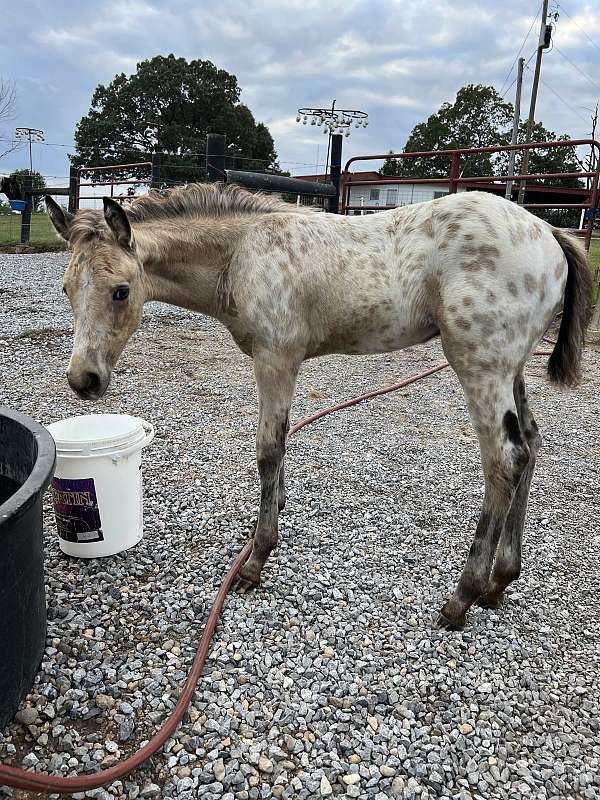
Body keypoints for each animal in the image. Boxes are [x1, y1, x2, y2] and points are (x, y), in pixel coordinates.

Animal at [47, 184, 592, 628]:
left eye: (121, 291)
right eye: (66, 288)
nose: (83, 380)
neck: (240, 254)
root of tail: (548, 230)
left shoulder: (275, 359)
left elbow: (268, 448)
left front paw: (255, 560)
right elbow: (278, 449)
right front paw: (274, 512)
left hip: (480, 366)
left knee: (505, 460)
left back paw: (464, 596)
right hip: (511, 369)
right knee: (531, 444)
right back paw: (501, 581)